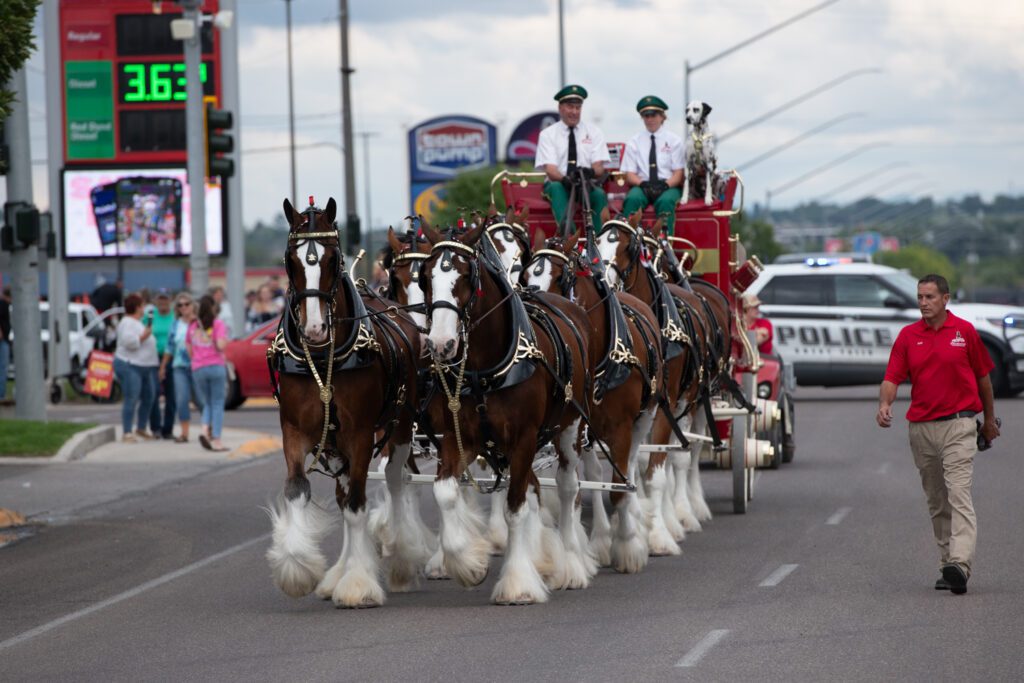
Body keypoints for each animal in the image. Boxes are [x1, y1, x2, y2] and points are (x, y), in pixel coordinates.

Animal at [266, 197, 428, 608]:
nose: (314, 330)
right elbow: (297, 490)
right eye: (290, 259)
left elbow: (357, 506)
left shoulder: (359, 434)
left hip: (399, 429)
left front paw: (357, 584)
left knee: (396, 481)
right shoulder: (295, 431)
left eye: (333, 257)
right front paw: (298, 569)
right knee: (344, 493)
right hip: (334, 444)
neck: (326, 356)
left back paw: (401, 557)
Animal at [418, 220, 595, 603]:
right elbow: (445, 492)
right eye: (425, 277)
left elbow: (515, 508)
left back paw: (572, 563)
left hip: (569, 428)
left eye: (464, 275)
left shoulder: (525, 438)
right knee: (535, 489)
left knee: (567, 487)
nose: (441, 344)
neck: (485, 369)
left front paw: (518, 583)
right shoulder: (460, 437)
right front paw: (468, 564)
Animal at [522, 230, 681, 569]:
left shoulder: (622, 428)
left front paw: (628, 545)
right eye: (526, 274)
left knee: (632, 466)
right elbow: (583, 482)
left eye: (561, 277)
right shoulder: (574, 426)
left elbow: (620, 487)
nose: (533, 311)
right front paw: (595, 541)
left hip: (646, 415)